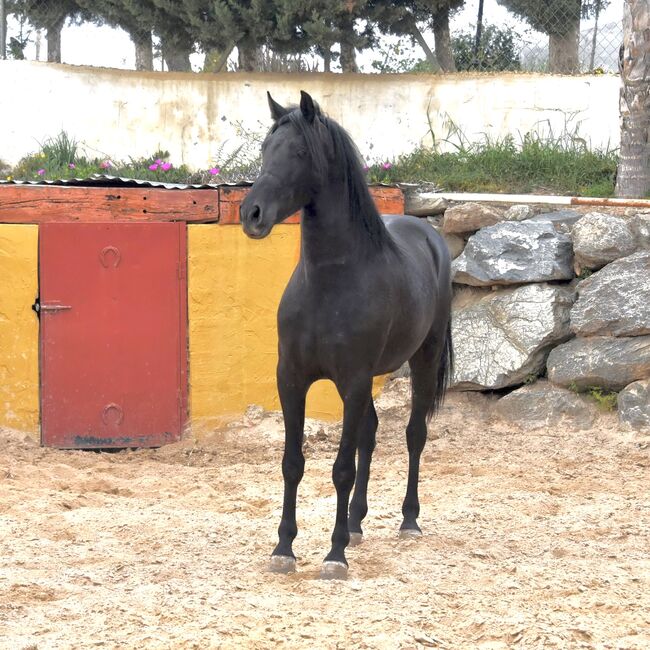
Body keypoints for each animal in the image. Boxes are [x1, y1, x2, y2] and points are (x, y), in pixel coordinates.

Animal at [239, 90, 450, 576]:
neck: (330, 282)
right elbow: (293, 462)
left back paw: (408, 520)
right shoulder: (293, 379)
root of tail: (429, 234)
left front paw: (333, 555)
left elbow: (340, 468)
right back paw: (355, 523)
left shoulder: (352, 380)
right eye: (265, 149)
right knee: (369, 434)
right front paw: (284, 548)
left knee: (413, 434)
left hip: (422, 359)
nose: (251, 213)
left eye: (300, 152)